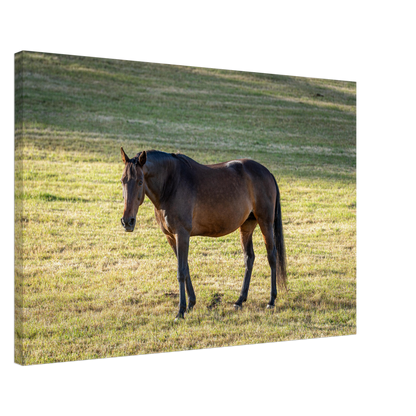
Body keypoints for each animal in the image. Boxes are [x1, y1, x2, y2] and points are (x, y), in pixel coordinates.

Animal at [120, 148, 286, 320]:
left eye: (140, 181)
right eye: (122, 181)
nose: (127, 221)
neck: (171, 184)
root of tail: (267, 173)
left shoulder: (182, 234)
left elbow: (181, 272)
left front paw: (181, 311)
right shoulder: (171, 237)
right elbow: (185, 268)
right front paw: (190, 304)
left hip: (265, 222)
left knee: (272, 256)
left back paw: (271, 300)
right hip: (246, 226)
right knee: (249, 258)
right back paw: (240, 300)